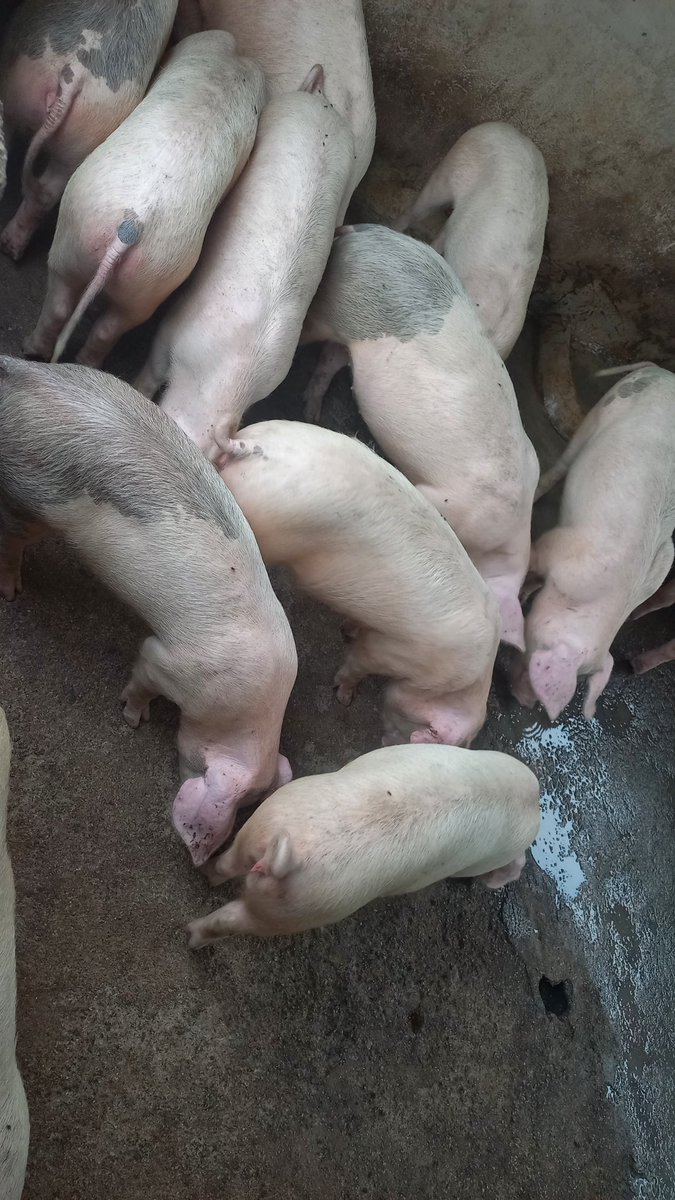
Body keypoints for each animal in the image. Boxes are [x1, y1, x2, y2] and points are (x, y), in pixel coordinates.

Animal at [0, 357, 297, 866]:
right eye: (238, 806)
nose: (204, 860)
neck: (241, 712)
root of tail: (18, 375)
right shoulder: (170, 665)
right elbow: (142, 673)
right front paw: (133, 719)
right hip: (32, 498)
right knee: (11, 540)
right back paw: (12, 591)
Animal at [24, 31, 265, 368]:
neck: (233, 62)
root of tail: (132, 225)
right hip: (141, 271)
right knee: (100, 323)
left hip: (93, 247)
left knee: (67, 305)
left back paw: (30, 348)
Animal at [187, 744, 541, 943]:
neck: (526, 801)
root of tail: (286, 859)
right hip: (311, 906)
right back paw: (192, 938)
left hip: (269, 822)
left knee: (228, 869)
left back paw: (199, 894)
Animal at [218, 420, 500, 746]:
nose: (385, 746)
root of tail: (250, 448)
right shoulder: (395, 653)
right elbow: (359, 661)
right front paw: (344, 698)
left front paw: (347, 630)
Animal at [511, 365, 675, 720]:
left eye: (583, 680)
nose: (525, 704)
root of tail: (658, 370)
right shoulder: (555, 546)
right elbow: (531, 561)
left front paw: (527, 593)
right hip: (603, 410)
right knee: (560, 467)